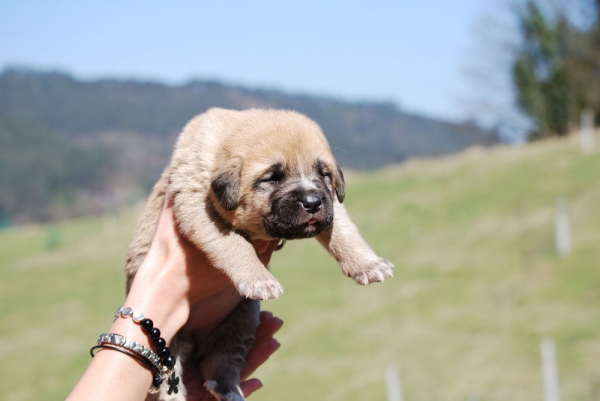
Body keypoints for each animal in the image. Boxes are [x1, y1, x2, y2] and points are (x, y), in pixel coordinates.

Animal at [125, 108, 394, 398]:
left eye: (323, 174)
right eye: (273, 177)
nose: (313, 203)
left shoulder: (331, 207)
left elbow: (344, 232)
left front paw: (368, 264)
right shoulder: (196, 203)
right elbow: (236, 244)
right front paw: (259, 279)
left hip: (239, 321)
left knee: (221, 359)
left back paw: (226, 388)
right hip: (168, 337)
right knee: (168, 379)